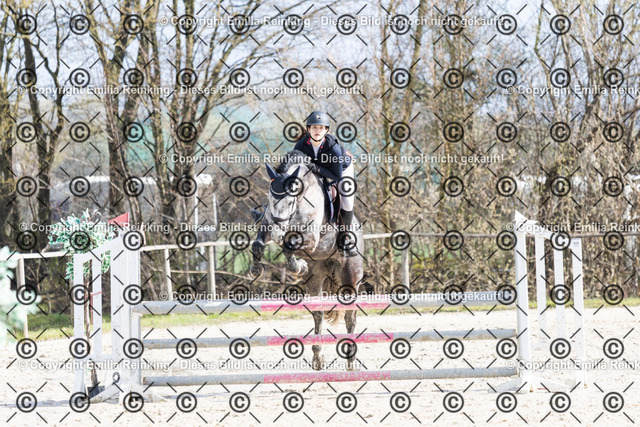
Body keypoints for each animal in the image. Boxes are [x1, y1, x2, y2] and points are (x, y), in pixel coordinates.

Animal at [250, 150, 365, 370]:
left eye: (290, 201)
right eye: (269, 198)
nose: (277, 234)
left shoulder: (311, 239)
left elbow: (288, 246)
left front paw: (298, 267)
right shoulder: (267, 225)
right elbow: (257, 245)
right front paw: (256, 269)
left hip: (350, 278)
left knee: (350, 317)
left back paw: (351, 360)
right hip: (315, 278)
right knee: (318, 314)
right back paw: (318, 358)